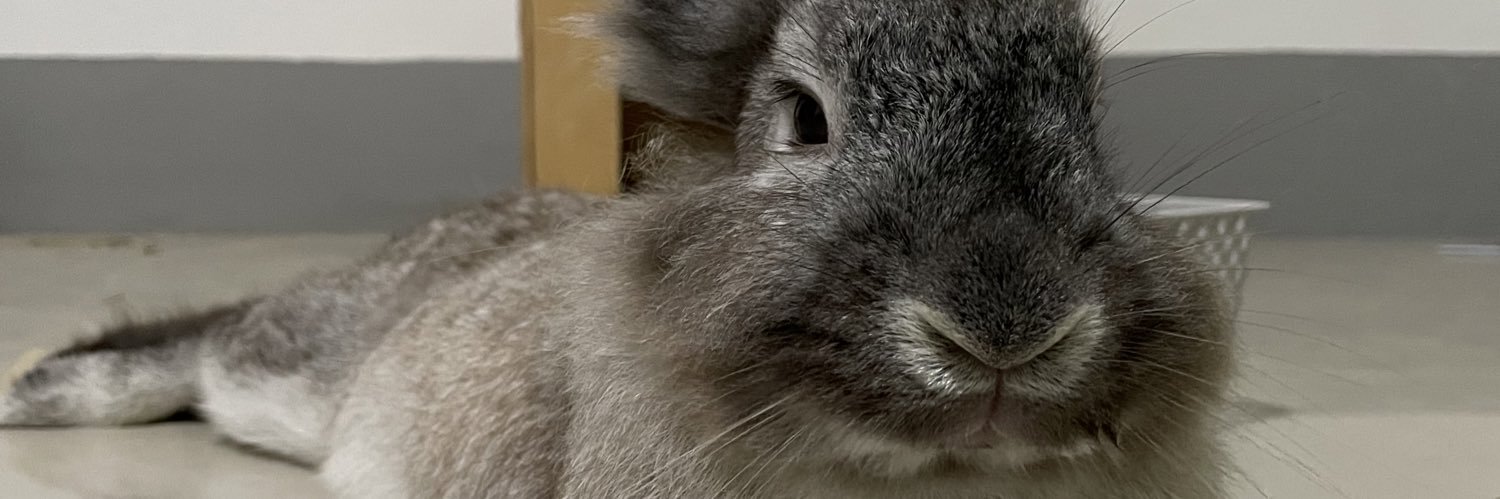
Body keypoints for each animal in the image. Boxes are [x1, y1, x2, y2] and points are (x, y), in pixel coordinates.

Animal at [2, 0, 1238, 497]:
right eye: (805, 119)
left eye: (1094, 123)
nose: (1007, 327)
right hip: (293, 374)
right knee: (203, 343)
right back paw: (32, 394)